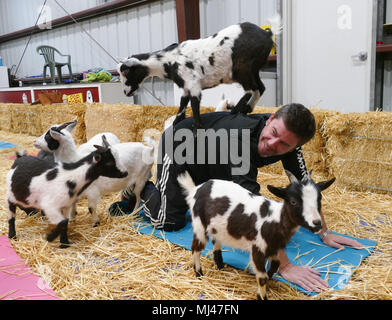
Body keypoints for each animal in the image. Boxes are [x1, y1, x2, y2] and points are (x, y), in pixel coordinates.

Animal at [116, 18, 282, 133]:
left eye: (125, 73)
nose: (125, 92)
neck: (168, 60)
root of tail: (267, 33)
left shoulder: (193, 84)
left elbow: (195, 106)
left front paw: (197, 129)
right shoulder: (186, 87)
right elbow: (182, 105)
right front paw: (176, 123)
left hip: (242, 68)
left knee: (251, 89)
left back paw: (236, 110)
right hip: (253, 70)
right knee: (260, 88)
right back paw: (246, 109)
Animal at [178, 170, 334, 300]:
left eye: (319, 199)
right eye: (293, 201)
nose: (317, 223)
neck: (275, 220)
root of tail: (196, 189)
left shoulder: (273, 248)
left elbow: (275, 265)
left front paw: (269, 279)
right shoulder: (257, 248)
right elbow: (262, 277)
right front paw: (262, 295)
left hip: (217, 226)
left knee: (216, 241)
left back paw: (220, 265)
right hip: (199, 224)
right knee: (196, 248)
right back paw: (199, 274)